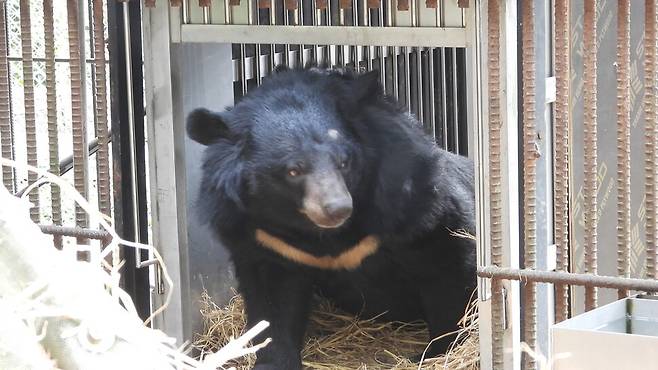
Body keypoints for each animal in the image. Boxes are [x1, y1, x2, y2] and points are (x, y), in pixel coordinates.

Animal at [187, 65, 474, 368]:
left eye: (344, 162)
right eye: (293, 171)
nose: (337, 208)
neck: (320, 234)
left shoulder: (410, 201)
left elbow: (447, 269)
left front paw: (436, 351)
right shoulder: (264, 238)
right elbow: (272, 302)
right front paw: (275, 360)